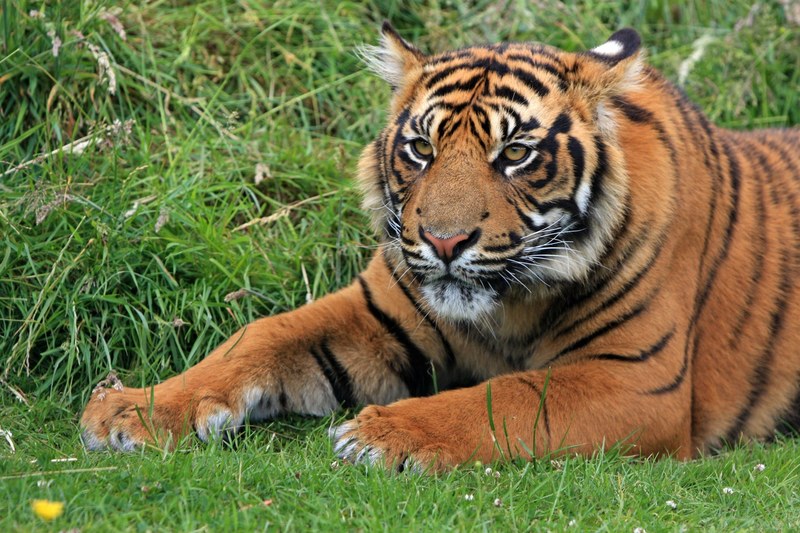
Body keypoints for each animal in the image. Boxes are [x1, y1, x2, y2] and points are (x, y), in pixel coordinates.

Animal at [80, 23, 800, 472]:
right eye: (421, 148)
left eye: (515, 154)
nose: (444, 240)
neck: (507, 306)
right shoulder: (374, 311)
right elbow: (258, 336)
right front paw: (131, 409)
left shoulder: (637, 377)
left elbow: (510, 395)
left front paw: (383, 433)